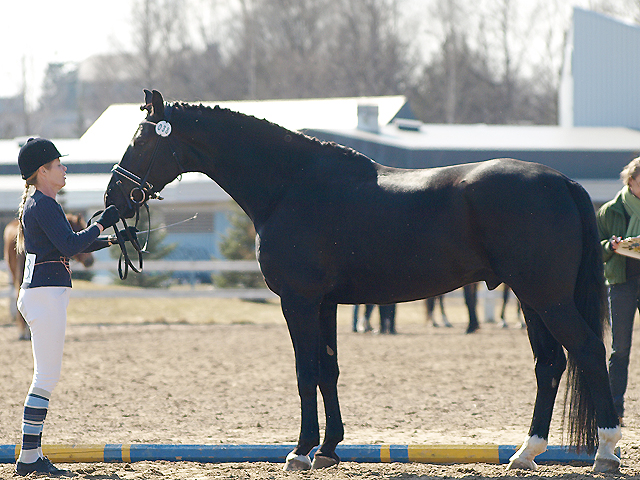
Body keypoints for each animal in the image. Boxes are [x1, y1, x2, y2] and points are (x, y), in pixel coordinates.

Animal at [104, 90, 620, 472]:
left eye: (142, 142)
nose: (113, 200)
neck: (291, 185)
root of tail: (563, 182)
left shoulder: (298, 300)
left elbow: (305, 371)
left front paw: (300, 452)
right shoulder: (326, 303)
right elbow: (328, 371)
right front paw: (329, 449)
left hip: (547, 297)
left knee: (589, 351)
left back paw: (606, 451)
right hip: (532, 299)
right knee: (550, 365)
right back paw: (525, 453)